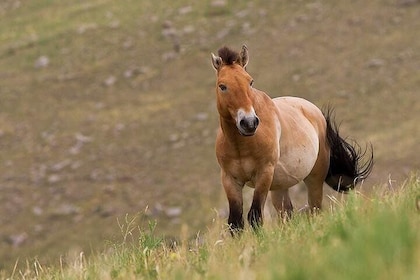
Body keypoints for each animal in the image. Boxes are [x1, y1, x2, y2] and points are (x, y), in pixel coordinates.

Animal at [212, 44, 372, 233]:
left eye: (250, 82)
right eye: (222, 86)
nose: (249, 122)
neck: (241, 145)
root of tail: (316, 112)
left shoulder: (264, 173)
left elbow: (255, 217)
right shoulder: (230, 179)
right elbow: (235, 223)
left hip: (314, 178)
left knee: (314, 209)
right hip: (279, 187)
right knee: (287, 215)